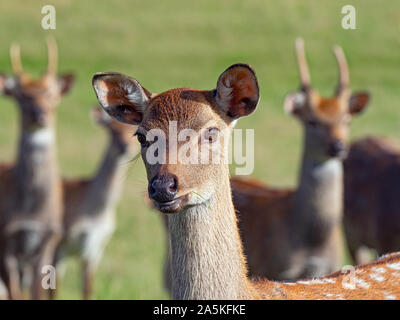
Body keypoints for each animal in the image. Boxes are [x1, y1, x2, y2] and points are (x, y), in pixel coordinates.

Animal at [0, 38, 75, 298]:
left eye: (52, 94)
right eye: (21, 96)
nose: (38, 113)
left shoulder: (47, 241)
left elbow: (37, 293)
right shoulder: (7, 241)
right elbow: (15, 294)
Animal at [49, 107, 138, 300]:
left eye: (133, 132)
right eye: (112, 130)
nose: (125, 146)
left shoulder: (96, 249)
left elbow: (87, 288)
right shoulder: (59, 247)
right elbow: (54, 290)